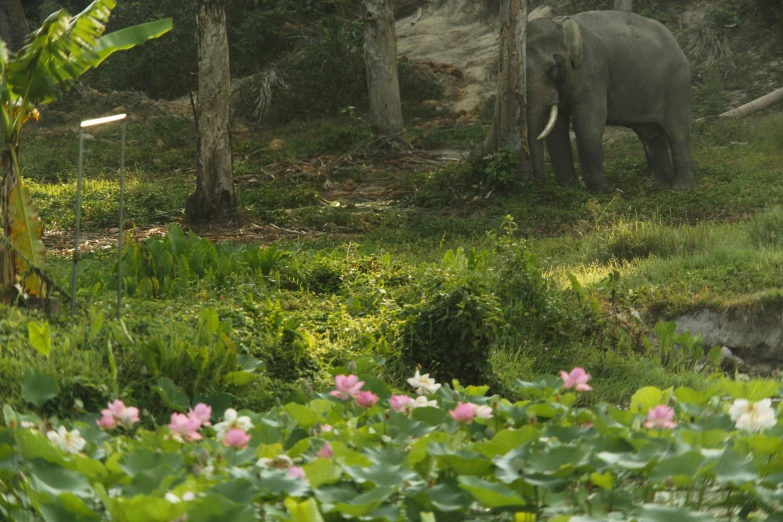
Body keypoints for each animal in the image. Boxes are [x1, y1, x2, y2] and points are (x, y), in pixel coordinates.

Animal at [528, 11, 700, 191]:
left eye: (551, 68)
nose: (539, 184)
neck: (560, 24)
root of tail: (677, 43)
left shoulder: (593, 70)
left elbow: (587, 123)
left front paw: (599, 192)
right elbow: (556, 129)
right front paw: (568, 190)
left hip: (677, 83)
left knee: (677, 131)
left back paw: (682, 188)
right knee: (650, 134)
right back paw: (656, 186)